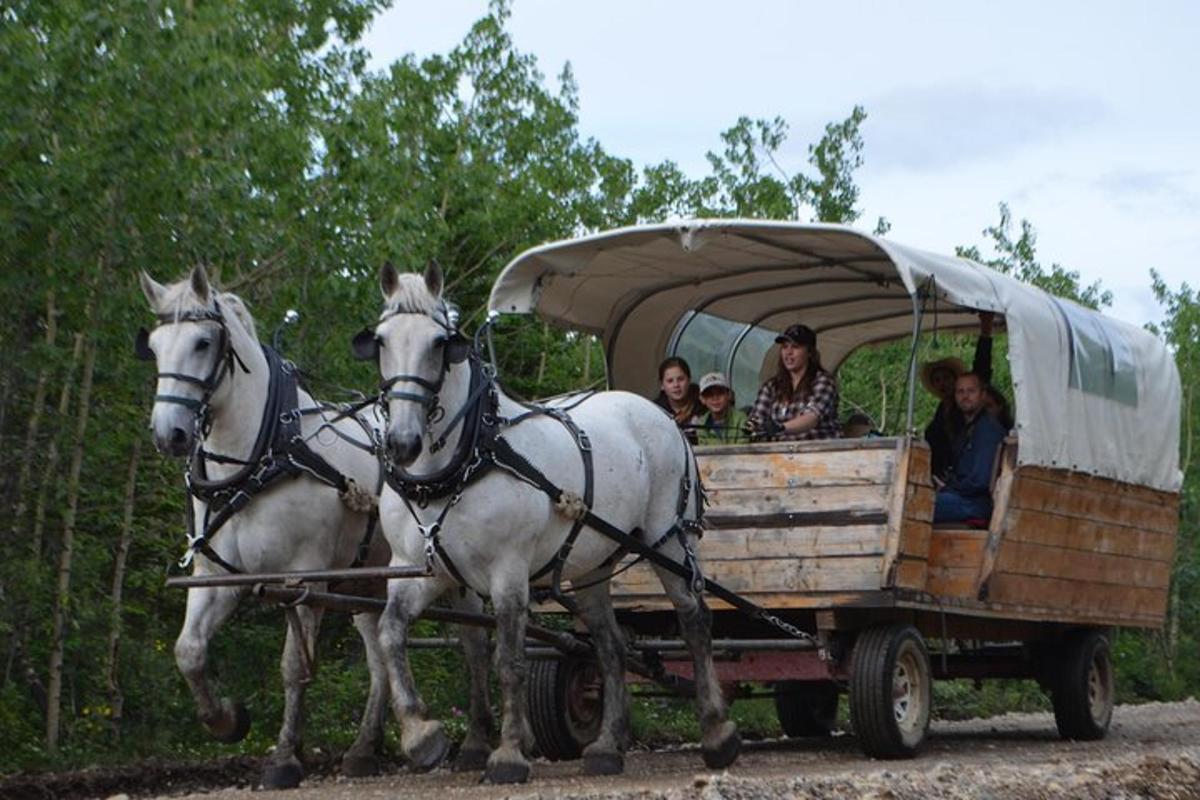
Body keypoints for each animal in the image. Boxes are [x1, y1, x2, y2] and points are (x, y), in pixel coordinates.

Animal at [140, 267, 496, 786]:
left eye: (204, 342)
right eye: (152, 345)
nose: (170, 433)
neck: (261, 458)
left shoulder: (303, 575)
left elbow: (293, 668)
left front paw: (285, 758)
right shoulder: (216, 577)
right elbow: (189, 651)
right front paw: (226, 720)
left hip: (451, 572)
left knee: (474, 643)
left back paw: (475, 741)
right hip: (368, 581)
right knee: (378, 660)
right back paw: (364, 750)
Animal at [355, 262, 739, 782]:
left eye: (439, 343)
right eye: (380, 341)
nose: (402, 442)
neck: (464, 460)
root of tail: (659, 413)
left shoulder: (508, 571)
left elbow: (510, 662)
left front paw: (509, 753)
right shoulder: (420, 570)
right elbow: (391, 633)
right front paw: (422, 735)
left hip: (670, 542)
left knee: (694, 620)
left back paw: (717, 732)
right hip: (593, 563)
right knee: (611, 645)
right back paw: (606, 746)